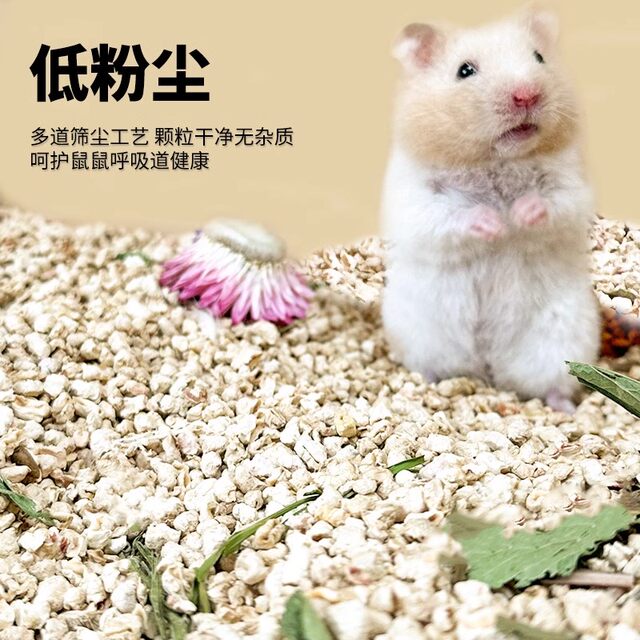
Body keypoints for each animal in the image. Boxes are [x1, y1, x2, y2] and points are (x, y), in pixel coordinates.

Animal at [381, 8, 600, 413]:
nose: (527, 94)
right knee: (431, 366)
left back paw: (566, 409)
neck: (495, 160)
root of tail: (487, 366)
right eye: (464, 70)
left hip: (561, 338)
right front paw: (497, 224)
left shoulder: (571, 186)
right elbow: (451, 214)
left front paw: (519, 216)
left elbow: (553, 203)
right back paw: (423, 386)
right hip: (419, 332)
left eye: (539, 58)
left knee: (552, 385)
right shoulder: (415, 200)